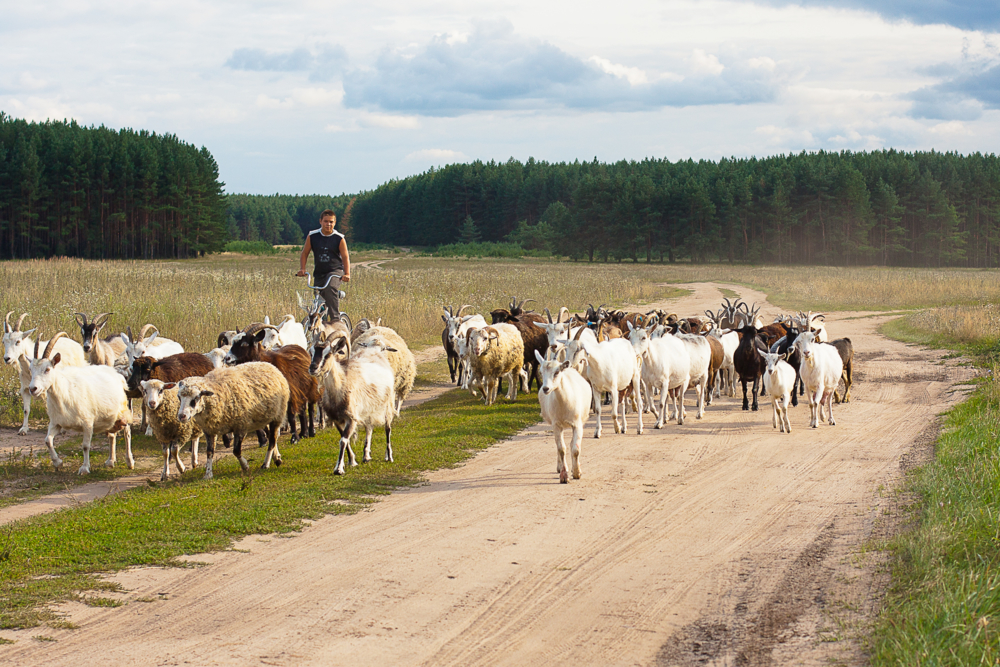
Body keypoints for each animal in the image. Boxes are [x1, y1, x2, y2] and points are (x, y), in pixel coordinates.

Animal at [28, 334, 133, 474]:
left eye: (47, 369)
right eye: (31, 369)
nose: (33, 389)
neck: (64, 391)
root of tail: (118, 376)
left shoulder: (87, 423)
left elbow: (85, 446)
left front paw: (84, 468)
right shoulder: (56, 423)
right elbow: (47, 441)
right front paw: (58, 463)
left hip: (123, 411)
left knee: (127, 432)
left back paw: (130, 462)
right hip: (110, 417)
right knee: (111, 435)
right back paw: (110, 461)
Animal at [308, 332, 394, 478]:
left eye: (328, 353)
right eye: (311, 352)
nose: (313, 368)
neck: (342, 384)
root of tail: (376, 353)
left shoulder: (351, 417)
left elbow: (343, 440)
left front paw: (338, 469)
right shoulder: (337, 418)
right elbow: (344, 438)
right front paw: (352, 461)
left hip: (387, 404)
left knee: (387, 428)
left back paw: (389, 456)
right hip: (368, 409)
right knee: (369, 428)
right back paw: (366, 456)